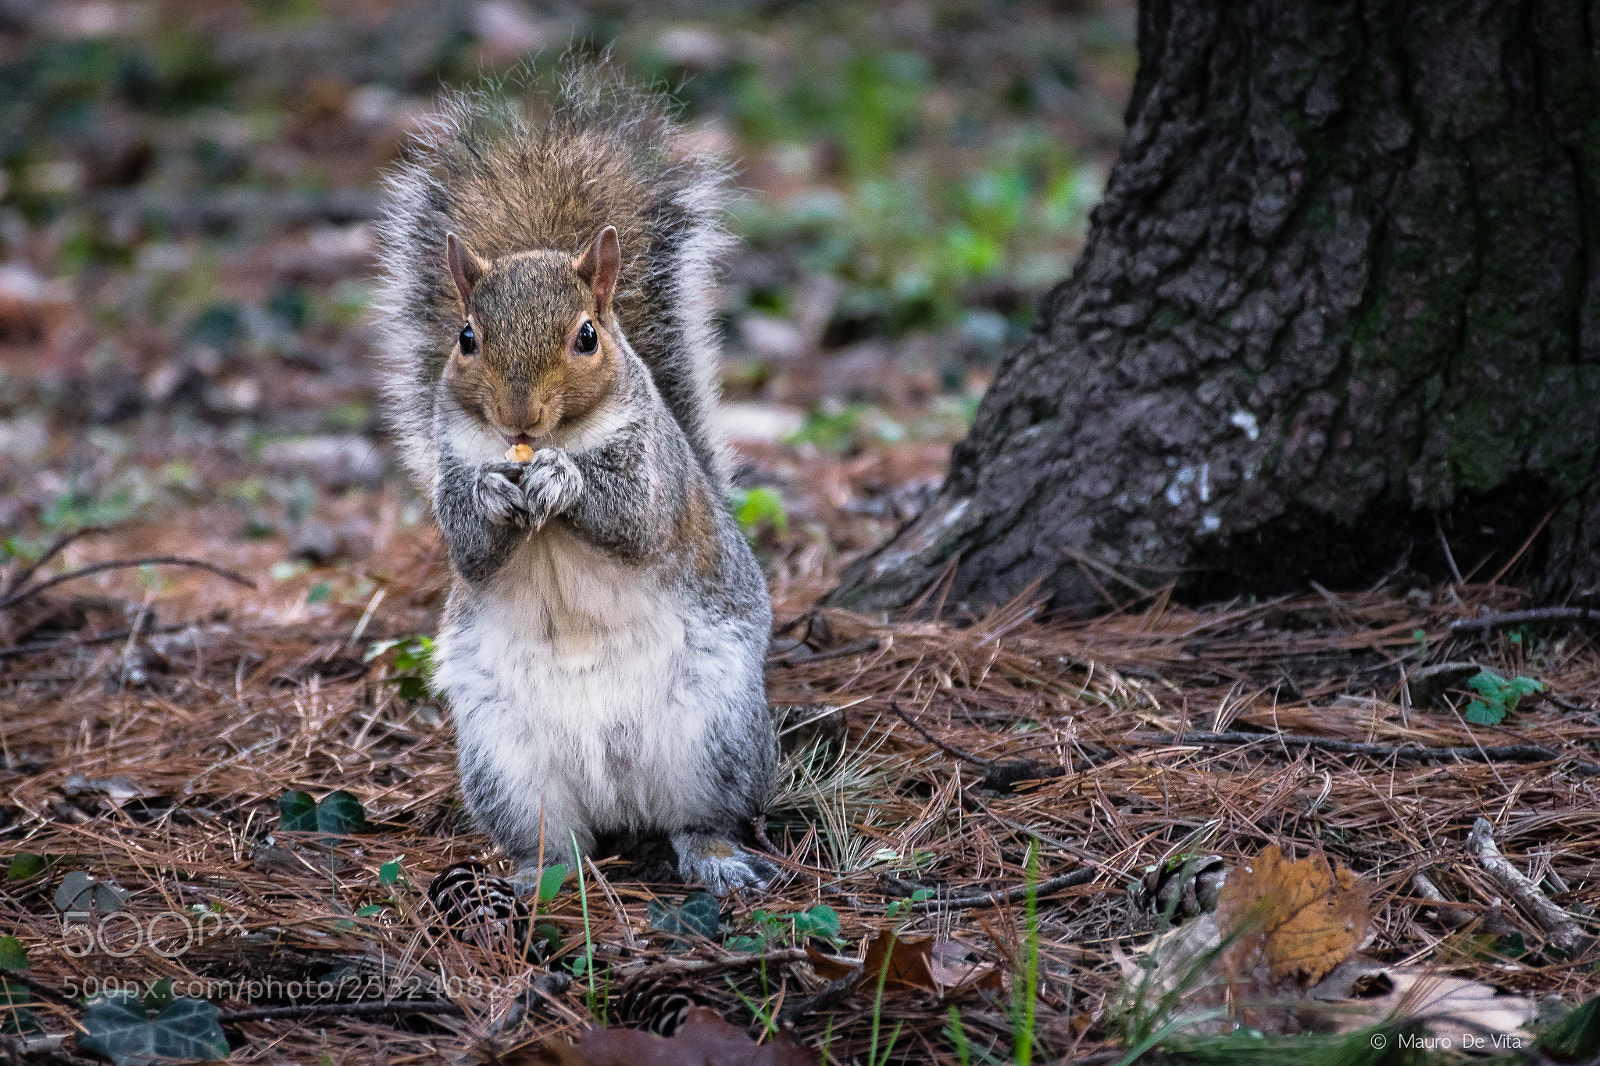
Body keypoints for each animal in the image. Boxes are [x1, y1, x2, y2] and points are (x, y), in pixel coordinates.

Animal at [372, 65, 777, 896]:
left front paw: (566, 482)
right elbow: (468, 547)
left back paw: (717, 858)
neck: (547, 439)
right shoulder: (453, 463)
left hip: (715, 735)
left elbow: (635, 520)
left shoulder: (653, 468)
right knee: (557, 841)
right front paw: (495, 496)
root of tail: (617, 791)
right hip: (505, 760)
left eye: (587, 336)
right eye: (467, 337)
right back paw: (535, 876)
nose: (518, 414)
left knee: (702, 818)